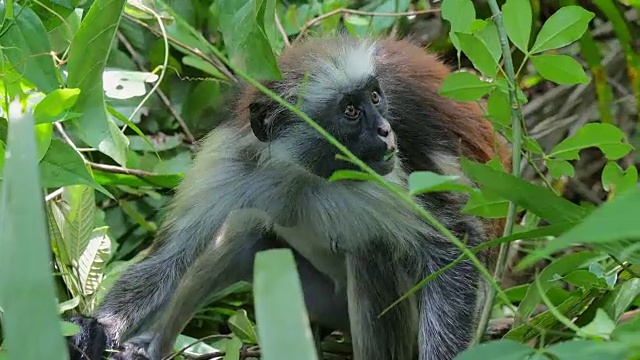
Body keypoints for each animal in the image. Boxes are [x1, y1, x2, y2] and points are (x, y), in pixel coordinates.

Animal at [67, 34, 512, 360]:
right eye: (350, 111)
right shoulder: (230, 161)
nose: (386, 131)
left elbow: (453, 247)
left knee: (372, 251)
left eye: (374, 98)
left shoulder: (380, 174)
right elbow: (169, 258)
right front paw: (100, 328)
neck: (300, 172)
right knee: (241, 234)